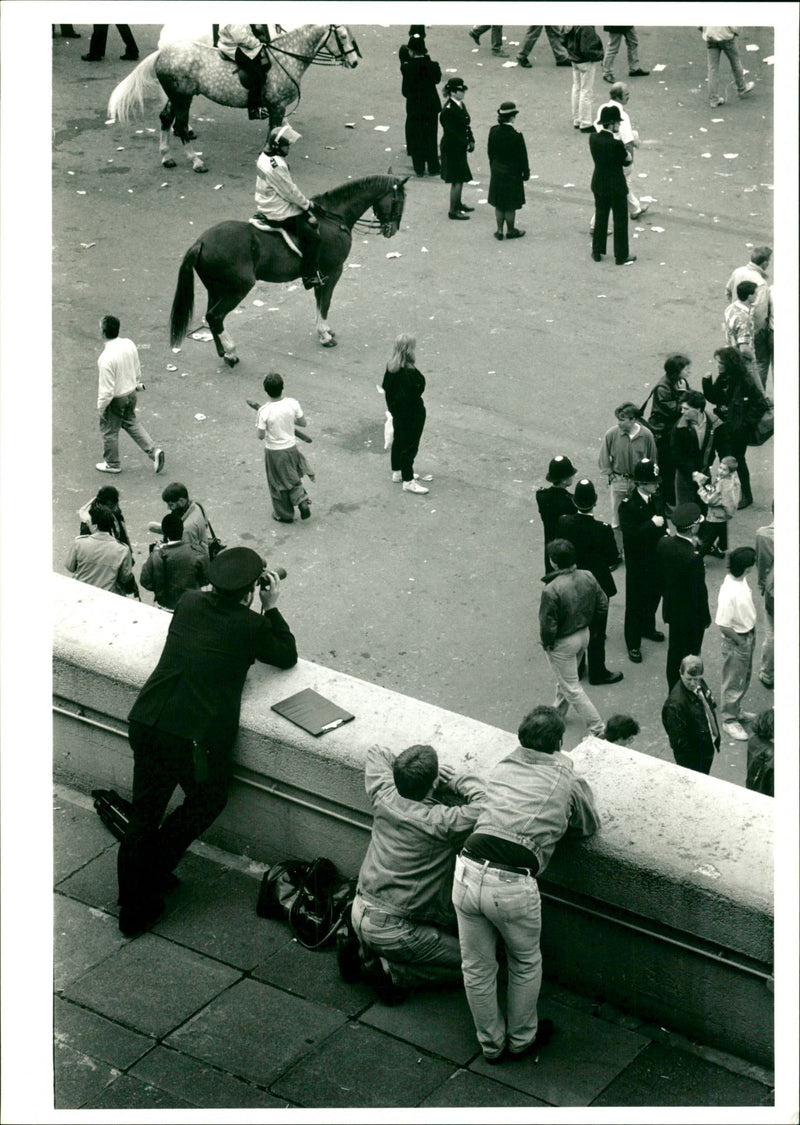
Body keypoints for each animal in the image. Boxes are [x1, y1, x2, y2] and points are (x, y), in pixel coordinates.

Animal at [168, 174, 407, 364]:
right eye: (399, 201)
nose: (393, 230)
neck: (332, 217)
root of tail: (201, 242)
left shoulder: (321, 275)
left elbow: (319, 302)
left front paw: (323, 330)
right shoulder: (334, 271)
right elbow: (325, 303)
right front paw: (325, 336)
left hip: (216, 289)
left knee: (210, 317)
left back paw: (224, 353)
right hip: (238, 288)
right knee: (215, 316)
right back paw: (232, 351)